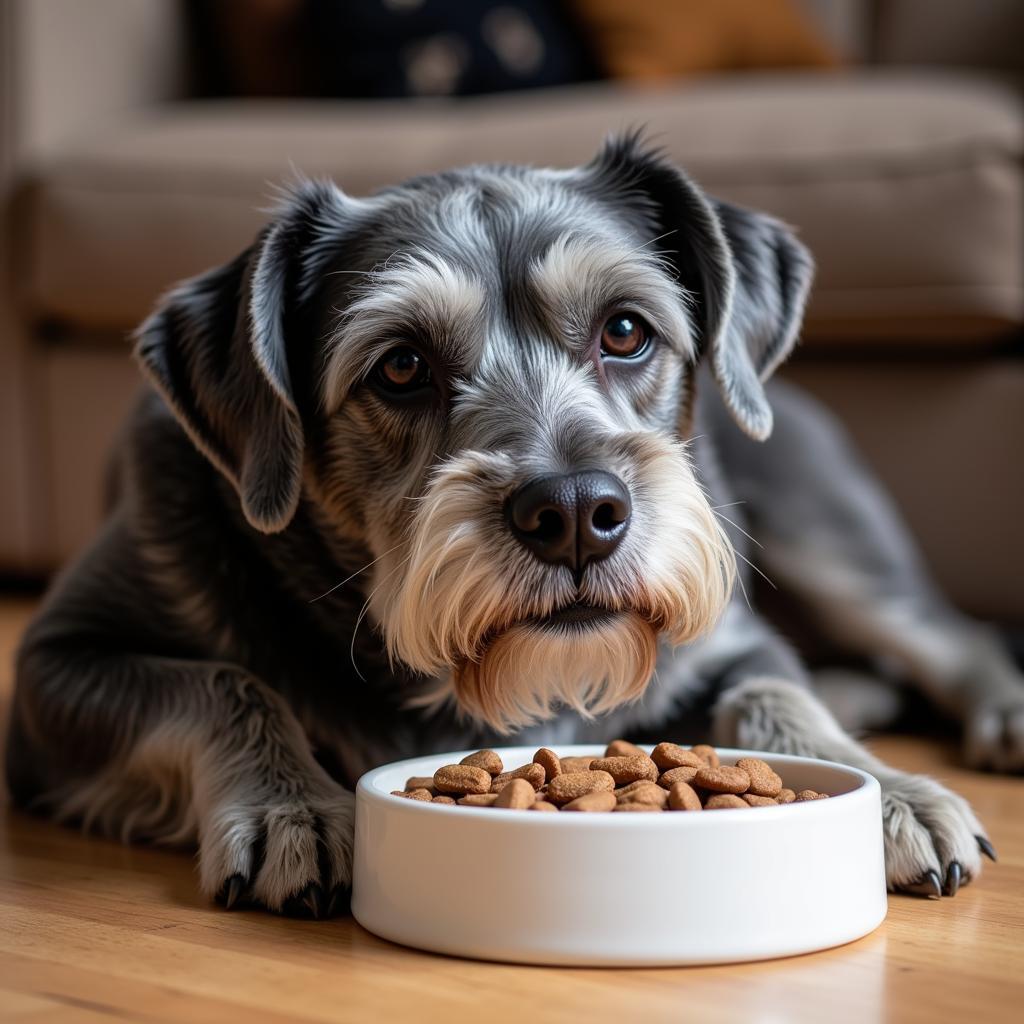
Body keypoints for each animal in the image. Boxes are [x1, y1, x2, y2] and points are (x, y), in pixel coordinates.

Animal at [6, 132, 1015, 917]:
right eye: (400, 365)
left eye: (625, 330)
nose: (575, 514)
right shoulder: (54, 668)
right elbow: (222, 684)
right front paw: (292, 806)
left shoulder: (732, 638)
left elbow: (773, 694)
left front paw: (889, 793)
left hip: (820, 528)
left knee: (947, 634)